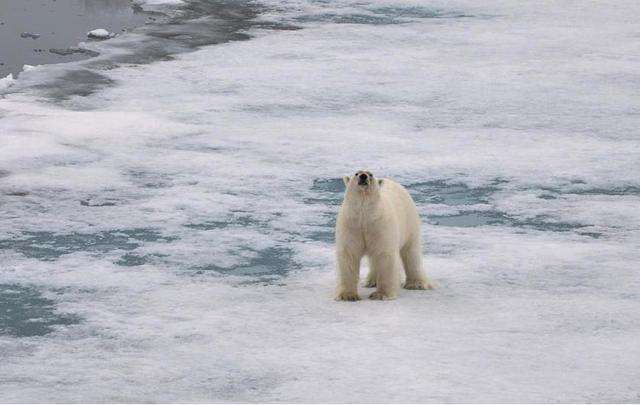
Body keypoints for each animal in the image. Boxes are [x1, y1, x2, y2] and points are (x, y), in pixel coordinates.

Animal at [336, 169, 430, 298]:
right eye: (357, 173)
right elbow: (349, 254)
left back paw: (416, 284)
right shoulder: (351, 226)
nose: (363, 176)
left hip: (409, 223)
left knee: (411, 252)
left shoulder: (381, 226)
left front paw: (380, 294)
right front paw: (348, 295)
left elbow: (384, 254)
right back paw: (372, 281)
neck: (365, 218)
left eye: (370, 174)